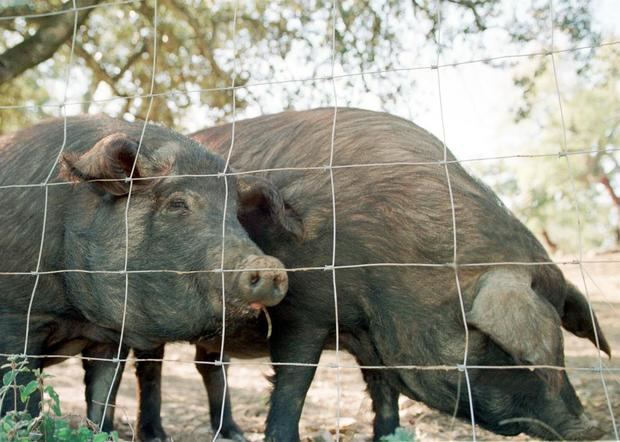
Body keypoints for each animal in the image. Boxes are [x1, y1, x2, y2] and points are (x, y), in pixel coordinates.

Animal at [112, 109, 612, 440]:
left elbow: (384, 392)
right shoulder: (303, 312)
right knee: (150, 366)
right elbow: (293, 385)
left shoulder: (372, 336)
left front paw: (387, 433)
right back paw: (153, 435)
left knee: (207, 364)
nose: (590, 428)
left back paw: (232, 433)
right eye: (503, 347)